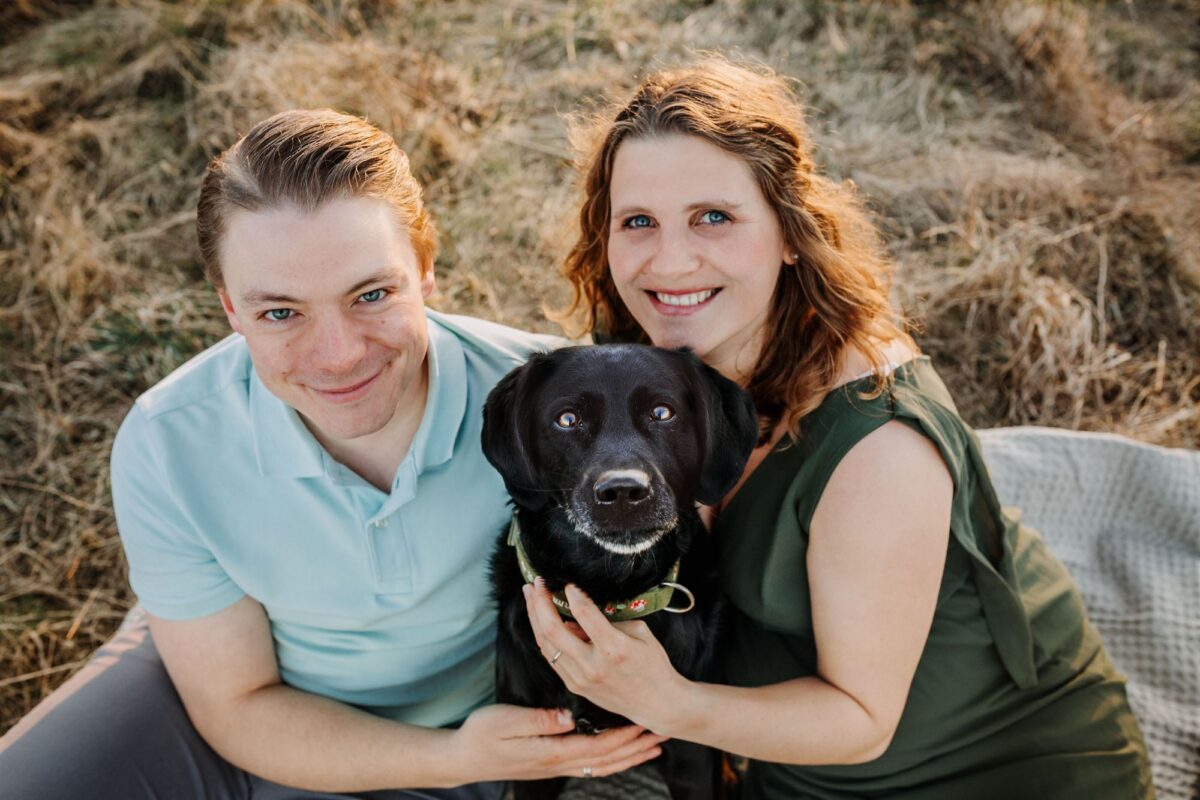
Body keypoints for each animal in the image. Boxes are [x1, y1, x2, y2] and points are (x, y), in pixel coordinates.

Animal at [480, 343, 753, 800]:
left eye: (662, 412)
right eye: (567, 419)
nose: (623, 491)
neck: (612, 589)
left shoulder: (691, 753)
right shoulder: (535, 757)